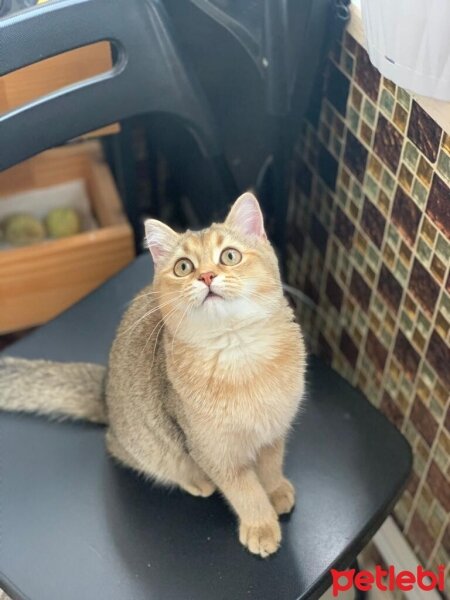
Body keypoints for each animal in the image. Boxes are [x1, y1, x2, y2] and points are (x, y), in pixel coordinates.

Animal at [0, 193, 306, 556]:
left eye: (230, 256)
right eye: (183, 267)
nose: (206, 277)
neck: (239, 354)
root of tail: (105, 392)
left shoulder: (274, 431)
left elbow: (270, 466)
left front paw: (275, 491)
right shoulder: (212, 451)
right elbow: (244, 491)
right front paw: (260, 525)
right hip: (150, 445)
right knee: (125, 452)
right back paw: (195, 480)